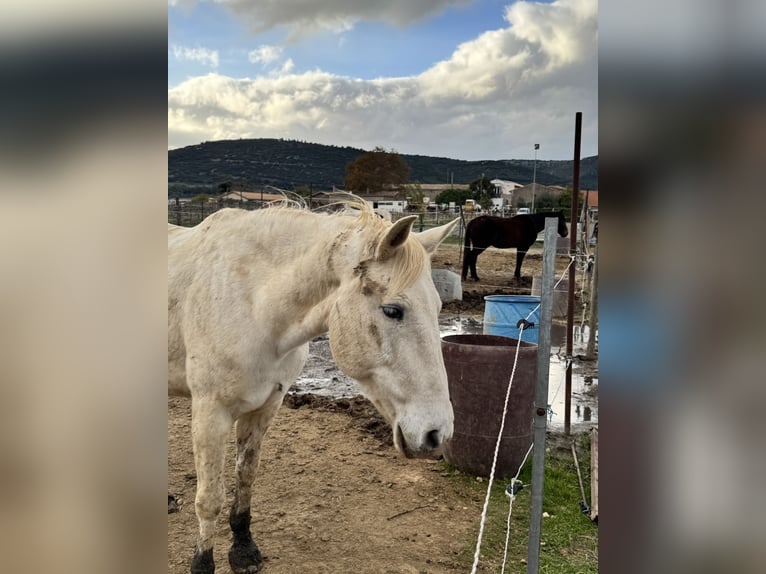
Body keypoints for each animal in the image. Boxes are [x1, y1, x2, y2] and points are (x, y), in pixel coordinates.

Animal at [171, 200, 460, 572]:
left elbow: (246, 476)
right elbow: (209, 499)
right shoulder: (211, 413)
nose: (437, 434)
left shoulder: (265, 407)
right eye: (393, 310)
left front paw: (244, 549)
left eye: (438, 308)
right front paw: (203, 563)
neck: (250, 302)